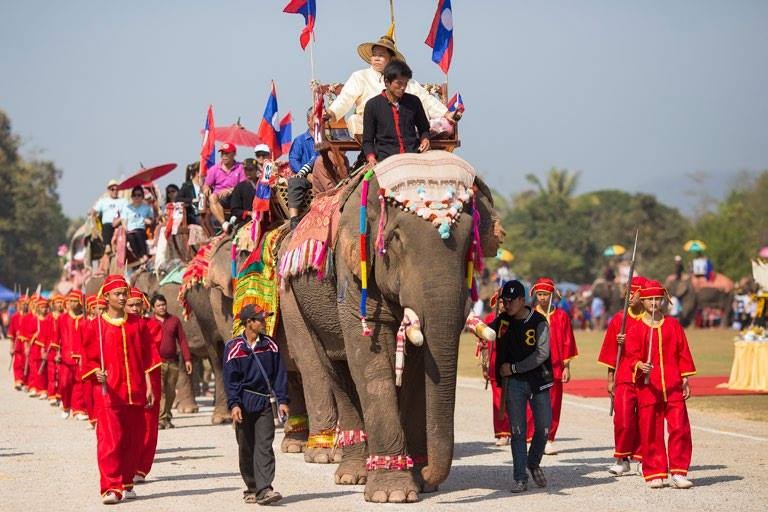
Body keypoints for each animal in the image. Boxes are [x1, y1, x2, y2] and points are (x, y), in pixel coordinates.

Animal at [280, 153, 500, 504]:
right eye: (395, 240)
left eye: (471, 243)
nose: (428, 473)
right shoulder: (353, 270)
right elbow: (371, 362)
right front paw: (392, 493)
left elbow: (417, 369)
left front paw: (417, 482)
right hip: (293, 297)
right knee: (326, 368)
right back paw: (351, 474)